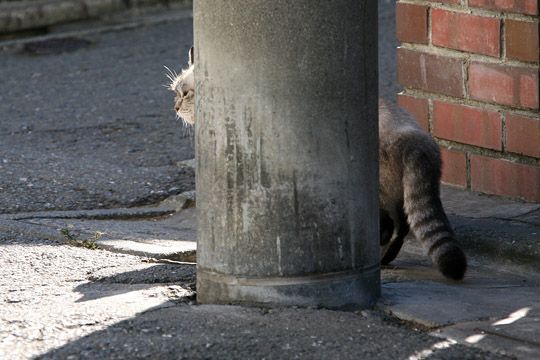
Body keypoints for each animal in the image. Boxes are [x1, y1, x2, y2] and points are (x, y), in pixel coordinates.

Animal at [170, 46, 468, 282]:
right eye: (175, 92)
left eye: (184, 94)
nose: (175, 107)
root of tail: (417, 140)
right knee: (401, 225)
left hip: (380, 193)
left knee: (394, 226)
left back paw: (383, 257)